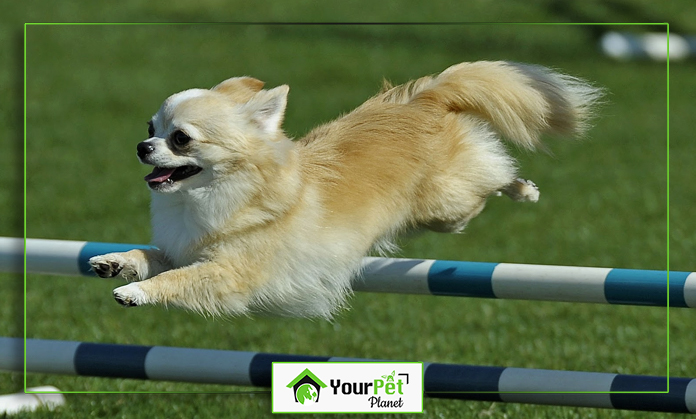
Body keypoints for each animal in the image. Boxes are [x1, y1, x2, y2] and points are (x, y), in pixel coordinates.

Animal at [89, 61, 600, 318]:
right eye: (150, 128)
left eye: (180, 139)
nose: (142, 146)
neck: (208, 198)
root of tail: (422, 97)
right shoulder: (184, 249)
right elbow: (152, 255)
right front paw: (116, 263)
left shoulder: (231, 273)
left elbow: (178, 279)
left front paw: (139, 292)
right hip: (440, 214)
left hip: (446, 204)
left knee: (489, 179)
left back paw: (523, 189)